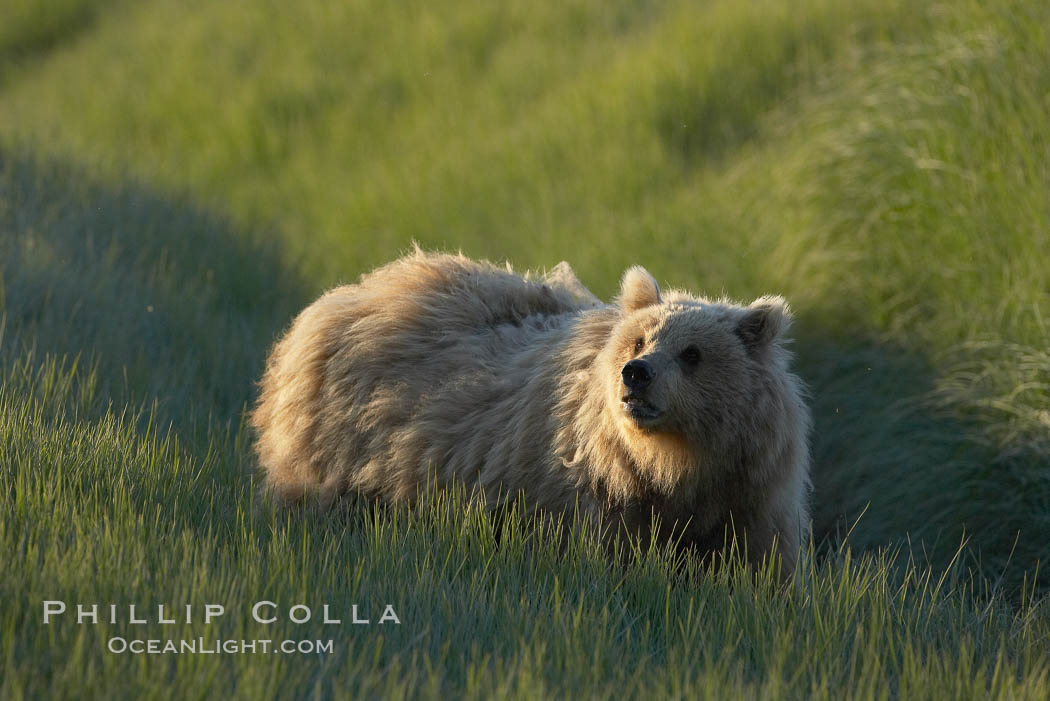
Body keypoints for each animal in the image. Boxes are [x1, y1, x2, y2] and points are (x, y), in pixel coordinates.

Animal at [254, 251, 810, 575]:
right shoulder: (590, 499)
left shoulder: (748, 497)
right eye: (640, 338)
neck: (675, 466)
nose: (636, 374)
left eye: (693, 353)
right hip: (340, 450)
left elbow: (758, 566)